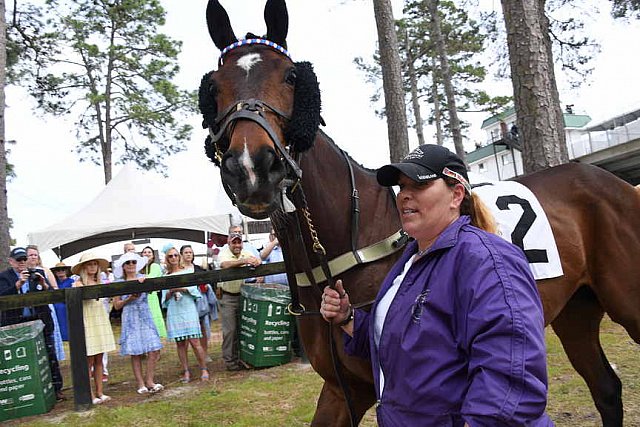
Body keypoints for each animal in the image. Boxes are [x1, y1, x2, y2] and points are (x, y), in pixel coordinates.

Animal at [199, 1, 640, 426]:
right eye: (214, 87)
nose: (252, 167)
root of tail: (614, 182)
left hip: (627, 302)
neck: (353, 245)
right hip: (576, 310)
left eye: (291, 76)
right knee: (606, 388)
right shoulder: (342, 390)